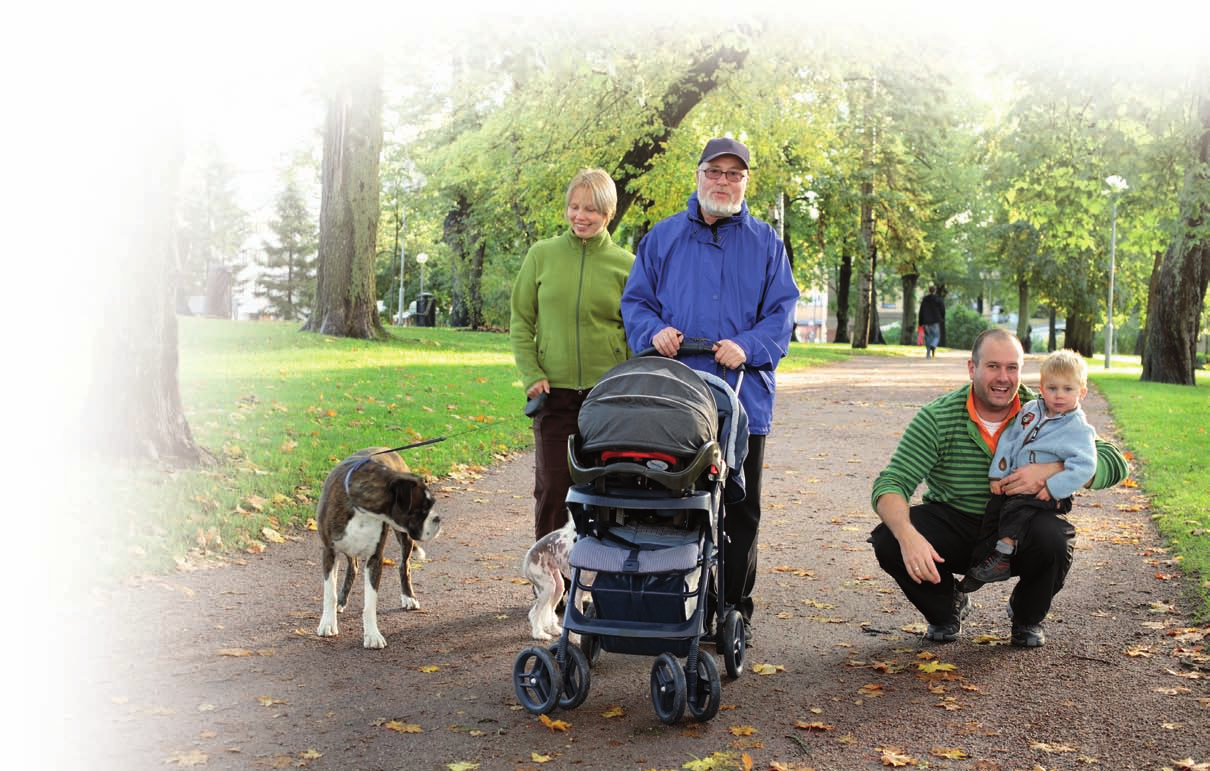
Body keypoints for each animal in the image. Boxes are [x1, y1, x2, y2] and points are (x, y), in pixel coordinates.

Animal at [317, 447, 440, 648]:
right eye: (423, 508)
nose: (437, 519)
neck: (361, 509)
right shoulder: (329, 552)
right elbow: (329, 593)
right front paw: (328, 623)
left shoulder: (375, 559)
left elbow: (370, 603)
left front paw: (372, 635)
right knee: (352, 567)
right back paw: (341, 601)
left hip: (404, 538)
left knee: (404, 566)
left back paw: (408, 597)